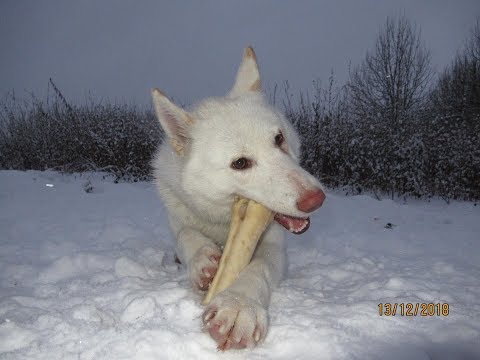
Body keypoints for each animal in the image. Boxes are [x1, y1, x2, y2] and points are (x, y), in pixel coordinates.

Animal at [151, 47, 322, 348]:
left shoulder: (274, 247)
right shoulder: (180, 219)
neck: (224, 221)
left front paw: (238, 305)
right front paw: (202, 259)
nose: (316, 199)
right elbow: (186, 235)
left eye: (279, 139)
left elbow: (258, 268)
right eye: (240, 163)